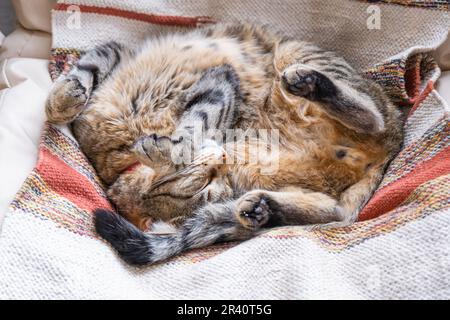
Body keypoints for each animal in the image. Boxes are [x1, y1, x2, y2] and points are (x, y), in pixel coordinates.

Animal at [46, 23, 404, 266]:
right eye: (206, 185)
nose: (220, 156)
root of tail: (390, 148)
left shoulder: (218, 82)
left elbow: (90, 64)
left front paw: (61, 101)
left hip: (297, 56)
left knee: (372, 117)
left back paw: (309, 83)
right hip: (313, 196)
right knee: (329, 210)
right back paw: (260, 209)